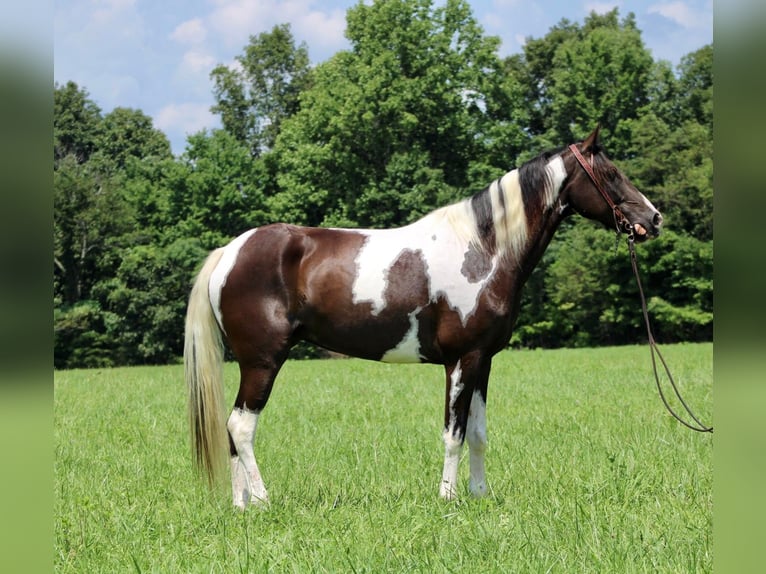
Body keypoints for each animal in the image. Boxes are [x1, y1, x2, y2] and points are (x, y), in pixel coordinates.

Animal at [183, 125, 664, 508]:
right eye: (611, 174)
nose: (654, 219)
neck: (483, 251)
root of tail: (231, 251)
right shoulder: (460, 361)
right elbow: (453, 434)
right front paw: (448, 498)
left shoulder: (483, 361)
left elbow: (478, 433)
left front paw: (479, 495)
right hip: (263, 361)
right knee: (241, 426)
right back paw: (263, 501)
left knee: (232, 431)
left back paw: (242, 505)